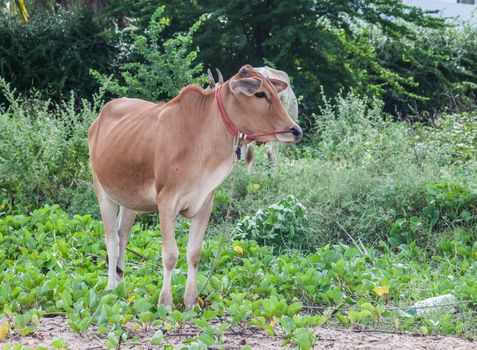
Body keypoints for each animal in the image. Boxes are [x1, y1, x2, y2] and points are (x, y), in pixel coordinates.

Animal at [87, 65, 302, 308]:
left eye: (274, 93)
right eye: (260, 94)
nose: (296, 130)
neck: (200, 139)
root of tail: (99, 117)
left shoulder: (205, 202)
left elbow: (194, 253)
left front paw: (191, 301)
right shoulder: (166, 202)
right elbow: (170, 255)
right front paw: (165, 302)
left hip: (130, 200)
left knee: (123, 236)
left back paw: (121, 286)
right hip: (102, 191)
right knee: (112, 240)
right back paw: (111, 289)